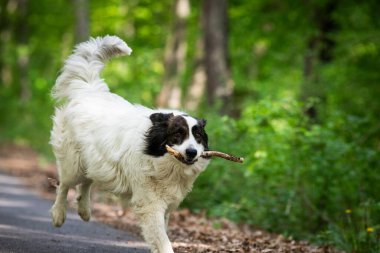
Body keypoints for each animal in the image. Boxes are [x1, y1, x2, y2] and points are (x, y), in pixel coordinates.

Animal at [49, 34, 209, 252]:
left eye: (198, 137)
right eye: (178, 135)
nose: (192, 152)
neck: (160, 160)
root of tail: (89, 91)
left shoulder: (166, 205)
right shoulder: (150, 204)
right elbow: (162, 239)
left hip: (96, 161)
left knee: (87, 181)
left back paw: (84, 209)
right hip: (73, 163)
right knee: (65, 184)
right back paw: (59, 214)